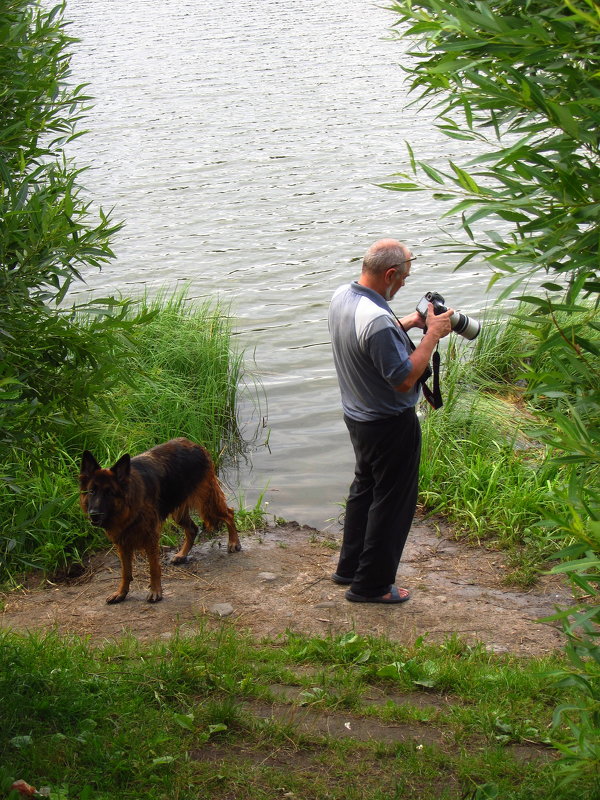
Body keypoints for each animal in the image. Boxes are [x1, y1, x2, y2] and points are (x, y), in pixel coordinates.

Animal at [78, 440, 240, 604]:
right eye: (92, 491)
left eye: (109, 493)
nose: (94, 515)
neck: (129, 507)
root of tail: (194, 444)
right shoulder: (122, 542)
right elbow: (125, 572)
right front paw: (121, 593)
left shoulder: (150, 538)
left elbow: (154, 568)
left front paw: (155, 591)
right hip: (179, 514)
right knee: (193, 529)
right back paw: (182, 554)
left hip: (207, 503)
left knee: (229, 514)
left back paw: (234, 542)